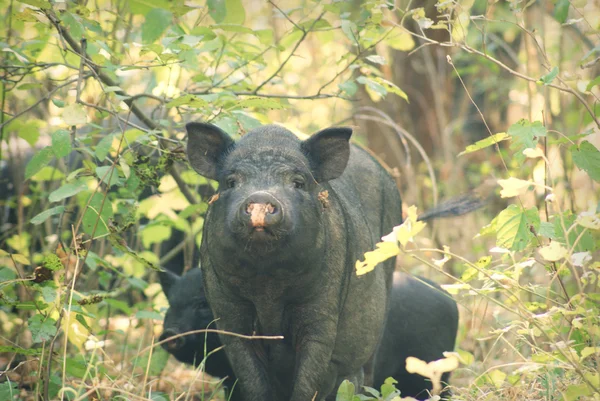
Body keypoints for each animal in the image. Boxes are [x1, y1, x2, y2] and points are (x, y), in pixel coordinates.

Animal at [186, 122, 404, 400]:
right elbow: (253, 380)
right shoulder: (228, 311)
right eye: (231, 181)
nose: (260, 198)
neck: (268, 290)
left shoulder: (322, 311)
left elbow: (309, 380)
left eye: (298, 182)